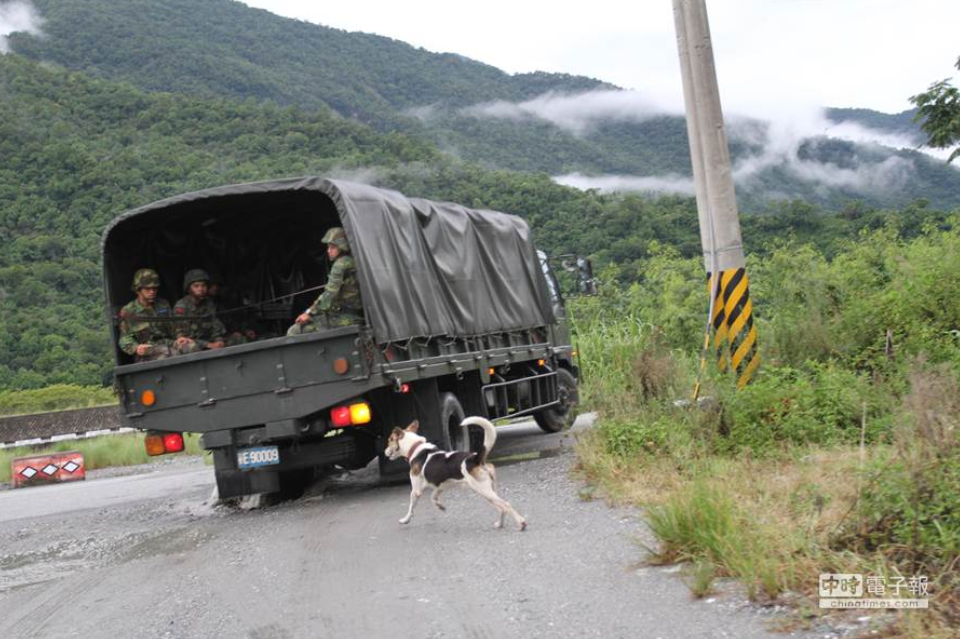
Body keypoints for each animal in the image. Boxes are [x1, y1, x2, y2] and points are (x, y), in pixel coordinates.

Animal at [386, 420, 528, 528]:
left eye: (389, 440)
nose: (384, 452)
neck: (415, 448)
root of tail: (475, 458)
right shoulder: (440, 486)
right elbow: (433, 497)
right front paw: (440, 507)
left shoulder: (416, 491)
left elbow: (411, 507)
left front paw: (405, 520)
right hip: (488, 492)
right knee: (501, 508)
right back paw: (499, 524)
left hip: (484, 490)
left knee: (506, 505)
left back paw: (521, 523)